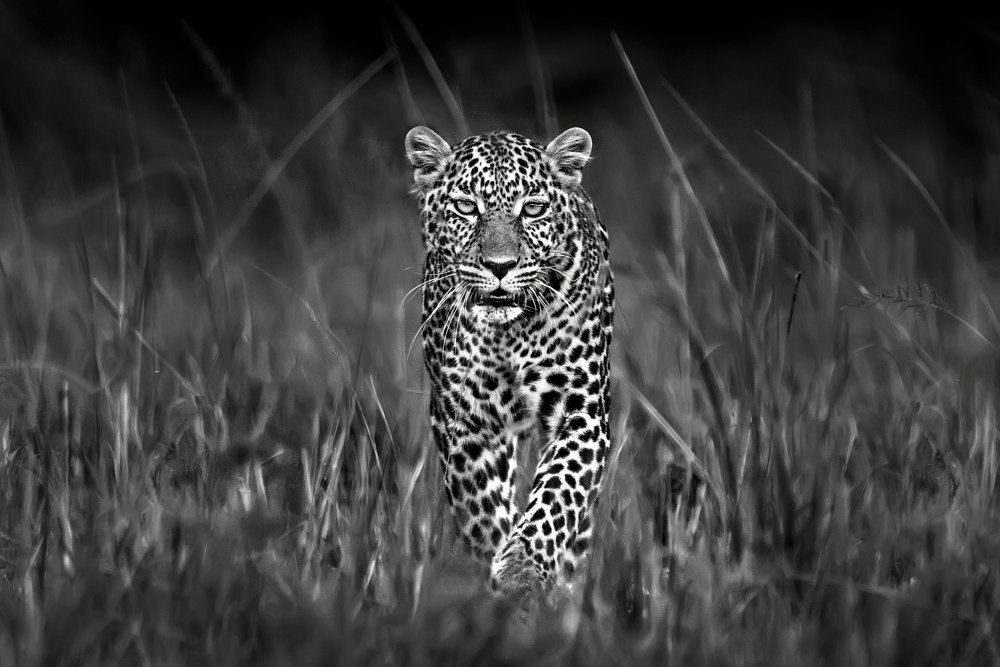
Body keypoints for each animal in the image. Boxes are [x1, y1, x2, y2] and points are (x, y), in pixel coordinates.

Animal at [404, 125, 614, 595]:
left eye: (532, 209)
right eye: (467, 207)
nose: (499, 266)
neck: (509, 335)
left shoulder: (583, 410)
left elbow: (559, 491)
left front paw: (522, 567)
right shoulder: (466, 420)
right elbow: (482, 507)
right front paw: (497, 576)